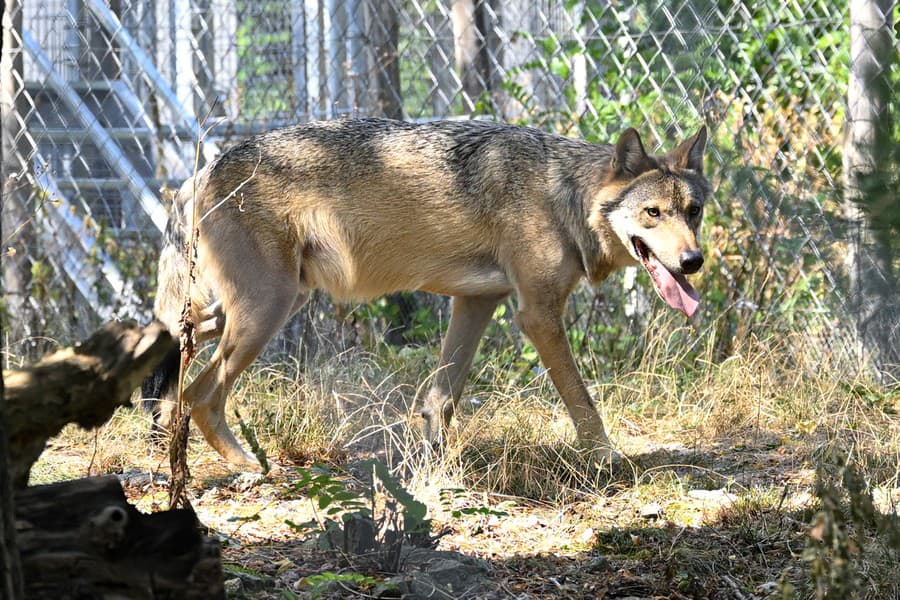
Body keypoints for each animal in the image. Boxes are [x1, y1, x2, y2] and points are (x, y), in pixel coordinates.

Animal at [139, 118, 712, 468]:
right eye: (652, 213)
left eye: (694, 212)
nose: (693, 261)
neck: (563, 195)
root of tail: (196, 176)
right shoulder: (538, 316)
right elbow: (581, 400)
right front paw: (606, 459)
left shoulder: (477, 302)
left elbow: (442, 399)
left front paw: (433, 467)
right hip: (265, 311)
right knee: (200, 395)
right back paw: (251, 467)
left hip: (259, 306)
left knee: (173, 359)